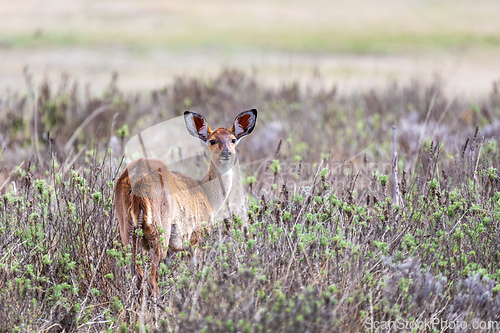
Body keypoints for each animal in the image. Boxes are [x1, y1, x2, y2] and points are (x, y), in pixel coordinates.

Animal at [114, 109, 258, 294]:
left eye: (233, 139)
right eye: (212, 140)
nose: (227, 153)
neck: (206, 194)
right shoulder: (196, 238)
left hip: (128, 232)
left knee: (137, 276)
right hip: (159, 232)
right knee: (152, 280)